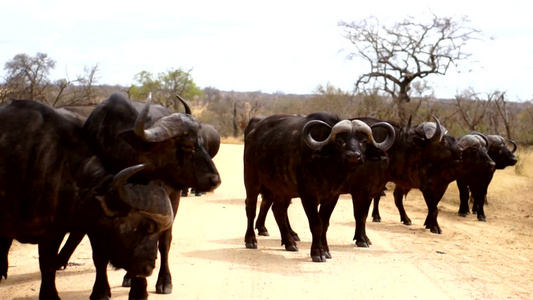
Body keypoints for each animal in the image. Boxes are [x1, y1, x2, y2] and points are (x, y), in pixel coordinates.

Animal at [242, 111, 394, 262]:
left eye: (363, 141)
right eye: (340, 141)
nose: (353, 156)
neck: (326, 168)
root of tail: (252, 134)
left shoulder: (332, 197)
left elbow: (324, 223)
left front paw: (326, 250)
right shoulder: (308, 196)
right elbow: (316, 223)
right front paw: (317, 252)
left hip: (282, 188)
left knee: (278, 210)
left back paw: (289, 243)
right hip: (252, 180)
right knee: (251, 207)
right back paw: (251, 240)